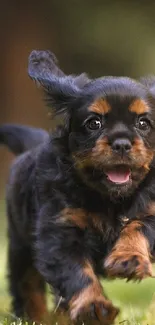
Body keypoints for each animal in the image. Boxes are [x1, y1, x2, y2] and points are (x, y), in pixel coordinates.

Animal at [1, 48, 155, 324]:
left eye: (143, 123)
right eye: (94, 123)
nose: (122, 144)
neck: (110, 199)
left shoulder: (152, 210)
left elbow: (138, 226)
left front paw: (129, 259)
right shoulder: (60, 231)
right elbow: (77, 273)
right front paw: (93, 307)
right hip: (20, 245)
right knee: (27, 287)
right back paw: (37, 317)